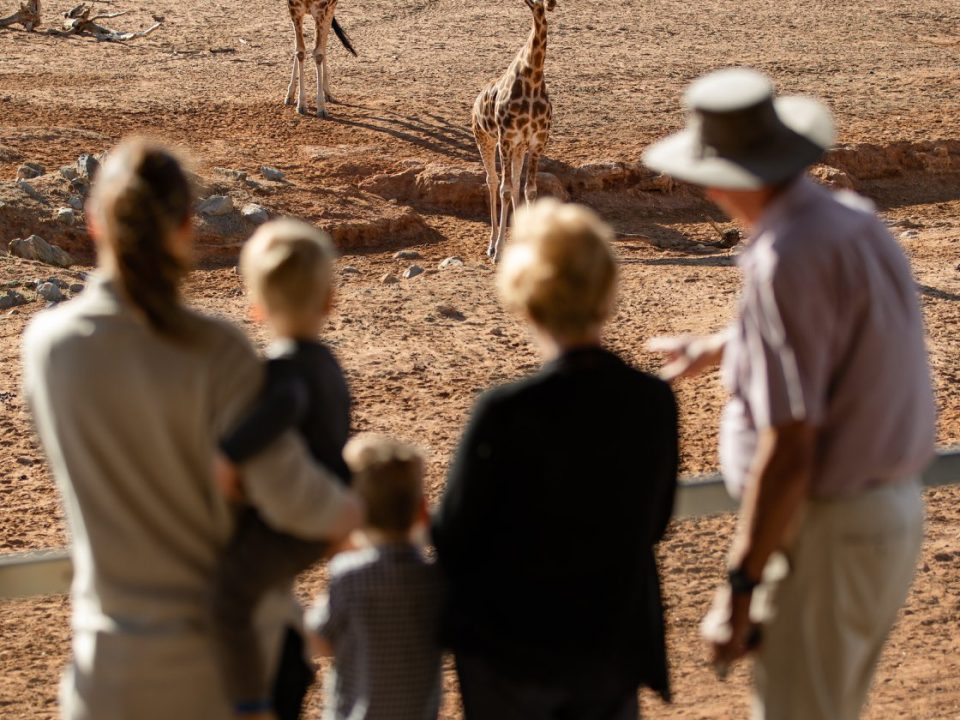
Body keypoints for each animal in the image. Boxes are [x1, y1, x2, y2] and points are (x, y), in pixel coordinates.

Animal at [470, 0, 556, 262]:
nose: (549, 5)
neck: (533, 78)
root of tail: (475, 103)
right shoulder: (506, 139)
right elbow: (505, 190)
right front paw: (498, 251)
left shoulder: (536, 142)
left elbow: (529, 190)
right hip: (485, 139)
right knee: (492, 181)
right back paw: (491, 245)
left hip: (517, 147)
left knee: (514, 184)